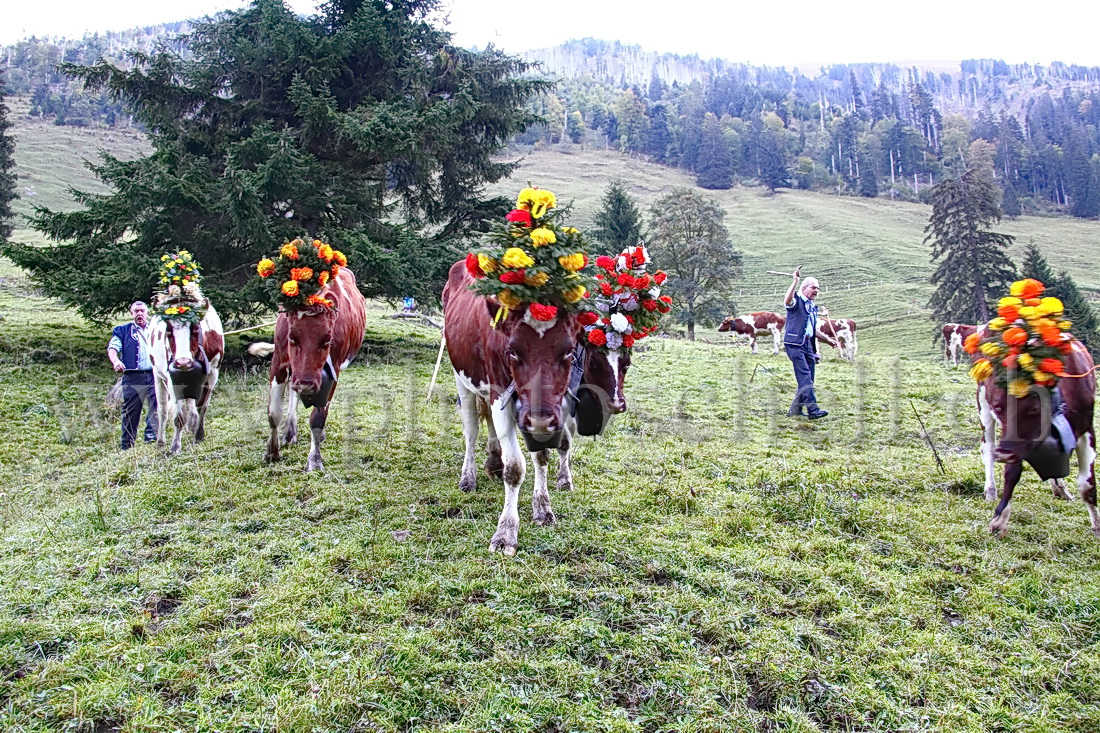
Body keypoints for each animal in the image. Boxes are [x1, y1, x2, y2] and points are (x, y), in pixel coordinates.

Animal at [147, 254, 224, 453]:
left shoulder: (213, 373)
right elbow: (178, 415)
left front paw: (198, 435)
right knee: (163, 409)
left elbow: (202, 406)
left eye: (196, 327)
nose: (183, 363)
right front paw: (175, 446)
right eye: (168, 330)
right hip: (157, 375)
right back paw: (161, 441)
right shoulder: (171, 377)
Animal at [251, 236, 367, 471]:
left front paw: (314, 459)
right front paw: (271, 452)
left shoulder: (332, 370)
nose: (305, 384)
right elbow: (273, 412)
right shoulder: (279, 361)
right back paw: (290, 433)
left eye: (327, 340)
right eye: (292, 338)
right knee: (293, 393)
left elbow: (318, 416)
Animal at [442, 186, 594, 550]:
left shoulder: (550, 406)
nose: (538, 418)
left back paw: (492, 461)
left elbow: (542, 456)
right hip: (463, 380)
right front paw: (506, 531)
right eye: (513, 351)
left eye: (568, 351)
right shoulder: (501, 393)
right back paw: (469, 476)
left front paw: (543, 509)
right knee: (471, 430)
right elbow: (516, 467)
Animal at [968, 277, 1095, 534]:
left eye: (1034, 408)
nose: (1004, 453)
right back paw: (990, 489)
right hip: (982, 404)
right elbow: (1012, 471)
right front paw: (999, 518)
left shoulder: (1087, 428)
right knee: (987, 446)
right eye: (1000, 407)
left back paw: (1060, 488)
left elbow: (1088, 487)